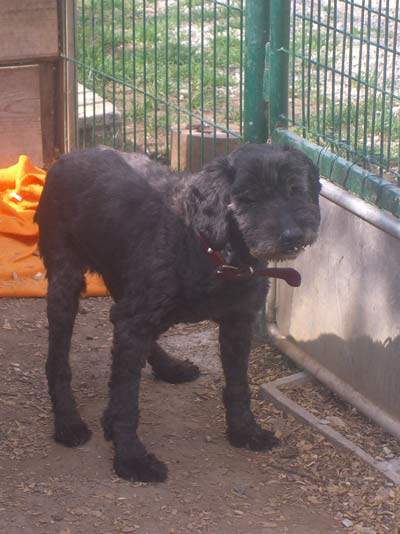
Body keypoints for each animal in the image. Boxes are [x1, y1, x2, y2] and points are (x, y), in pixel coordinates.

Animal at [35, 143, 321, 482]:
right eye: (249, 197)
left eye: (295, 189)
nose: (293, 235)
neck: (207, 247)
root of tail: (69, 155)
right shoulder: (136, 320)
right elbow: (126, 398)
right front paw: (130, 457)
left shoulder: (237, 322)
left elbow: (239, 384)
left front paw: (244, 431)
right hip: (66, 283)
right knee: (57, 358)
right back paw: (67, 421)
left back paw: (168, 367)